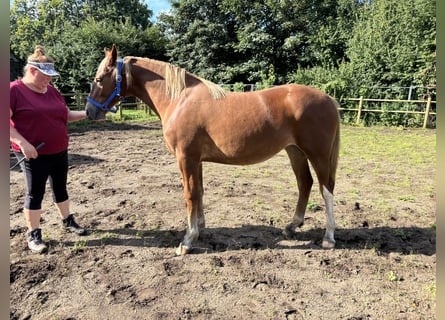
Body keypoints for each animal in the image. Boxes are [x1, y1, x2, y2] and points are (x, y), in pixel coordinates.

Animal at [85, 44, 338, 255]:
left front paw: (187, 241)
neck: (179, 99)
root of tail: (328, 99)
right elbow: (199, 191)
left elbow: (190, 194)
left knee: (326, 189)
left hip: (317, 154)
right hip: (295, 151)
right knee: (305, 183)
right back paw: (292, 226)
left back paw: (329, 237)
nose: (89, 111)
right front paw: (200, 227)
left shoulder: (185, 158)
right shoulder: (196, 160)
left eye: (99, 78)